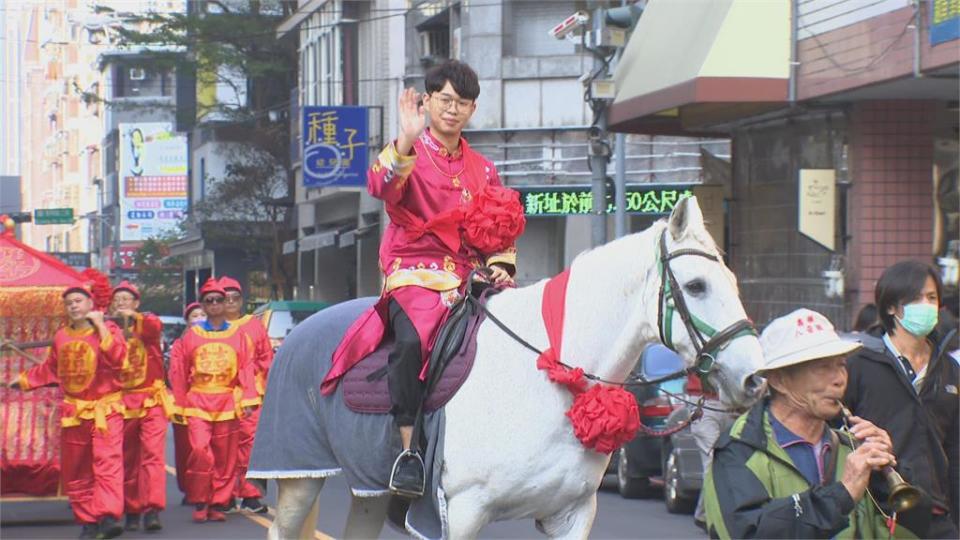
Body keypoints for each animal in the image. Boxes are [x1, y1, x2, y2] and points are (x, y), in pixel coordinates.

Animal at [258, 196, 760, 536]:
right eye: (695, 286)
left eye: (734, 281)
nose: (754, 378)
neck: (548, 374)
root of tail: (298, 331)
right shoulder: (460, 512)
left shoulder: (572, 514)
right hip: (298, 476)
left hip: (368, 489)